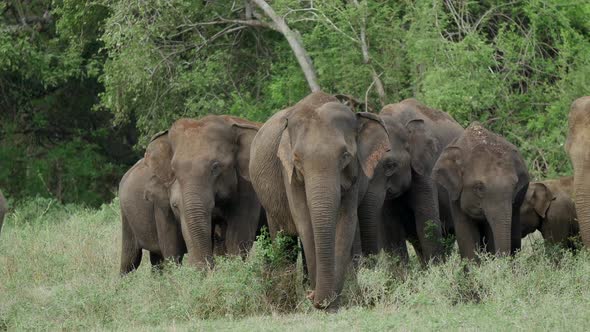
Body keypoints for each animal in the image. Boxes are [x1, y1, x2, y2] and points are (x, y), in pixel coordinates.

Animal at [120, 115, 264, 272]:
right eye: (174, 170)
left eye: (215, 167)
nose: (210, 266)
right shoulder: (162, 204)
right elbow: (173, 247)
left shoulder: (248, 184)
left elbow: (238, 238)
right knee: (130, 260)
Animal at [250, 90, 394, 308]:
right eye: (297, 159)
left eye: (345, 155)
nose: (312, 297)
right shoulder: (288, 171)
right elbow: (304, 222)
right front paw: (324, 302)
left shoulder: (354, 175)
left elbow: (346, 222)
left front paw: (333, 303)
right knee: (284, 240)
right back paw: (288, 303)